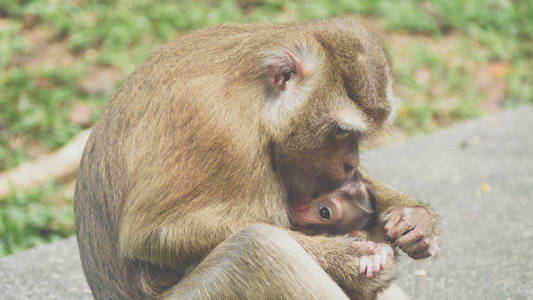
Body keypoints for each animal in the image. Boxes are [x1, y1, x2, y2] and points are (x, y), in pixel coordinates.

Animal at [77, 17, 438, 300]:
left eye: (358, 136)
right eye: (341, 131)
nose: (351, 162)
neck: (252, 98)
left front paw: (412, 219)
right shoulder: (219, 133)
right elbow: (150, 235)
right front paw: (346, 260)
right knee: (255, 248)